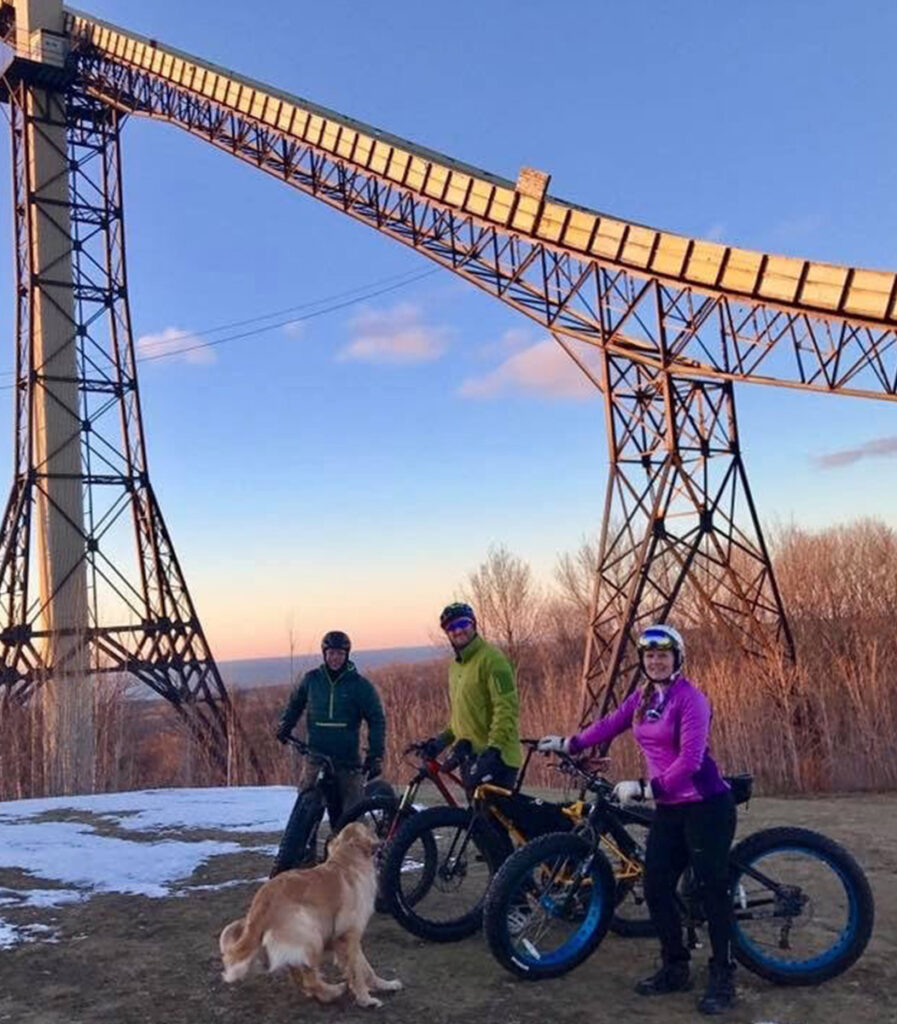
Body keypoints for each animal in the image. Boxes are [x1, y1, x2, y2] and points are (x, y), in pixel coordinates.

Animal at [219, 815, 401, 1007]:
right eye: (365, 827)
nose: (370, 818)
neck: (346, 860)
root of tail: (261, 902)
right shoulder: (348, 936)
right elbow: (356, 971)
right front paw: (366, 999)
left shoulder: (352, 939)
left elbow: (366, 967)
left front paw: (385, 985)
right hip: (312, 935)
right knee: (309, 979)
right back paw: (332, 991)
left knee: (298, 974)